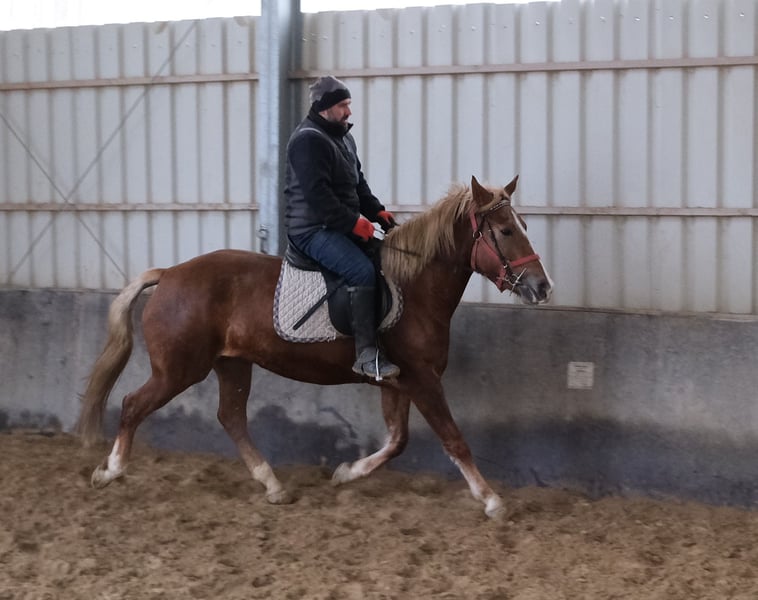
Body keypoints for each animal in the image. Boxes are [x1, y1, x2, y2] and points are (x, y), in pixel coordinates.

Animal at [75, 175, 553, 518]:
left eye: (523, 227)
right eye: (505, 231)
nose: (542, 287)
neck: (415, 286)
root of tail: (170, 273)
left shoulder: (396, 382)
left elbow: (397, 441)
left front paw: (345, 474)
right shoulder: (422, 380)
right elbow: (454, 440)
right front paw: (491, 500)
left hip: (231, 364)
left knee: (231, 417)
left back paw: (273, 486)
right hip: (178, 370)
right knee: (134, 405)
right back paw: (109, 471)